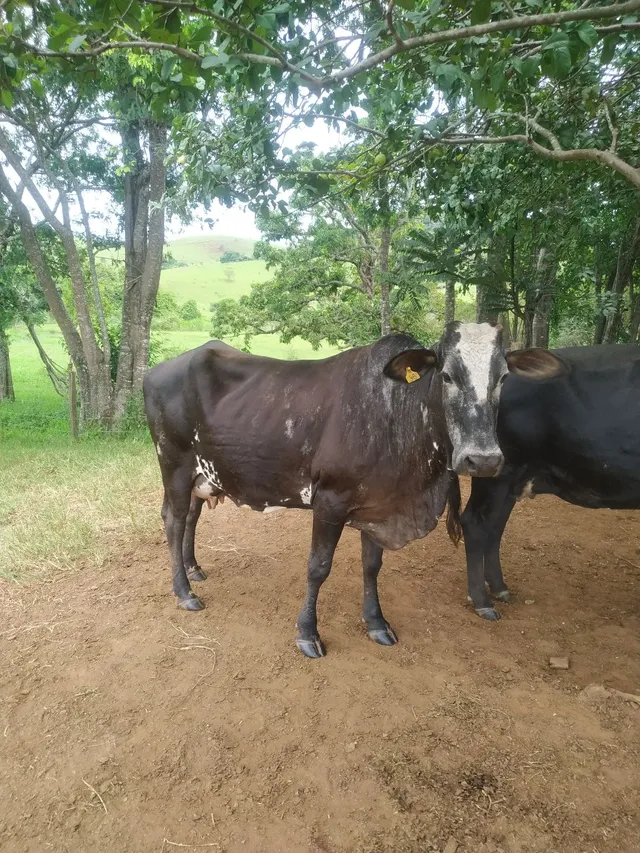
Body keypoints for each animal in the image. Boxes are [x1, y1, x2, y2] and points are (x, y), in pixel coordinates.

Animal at [143, 322, 544, 658]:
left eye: (503, 378)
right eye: (446, 375)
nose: (484, 459)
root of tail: (157, 370)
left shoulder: (379, 506)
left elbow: (372, 566)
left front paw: (377, 623)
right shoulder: (329, 502)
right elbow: (318, 567)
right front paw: (307, 633)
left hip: (202, 475)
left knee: (191, 516)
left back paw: (194, 569)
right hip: (174, 463)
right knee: (174, 520)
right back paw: (185, 592)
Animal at [459, 343, 640, 621]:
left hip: (513, 479)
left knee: (494, 528)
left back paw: (499, 588)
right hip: (496, 472)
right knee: (475, 523)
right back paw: (482, 600)